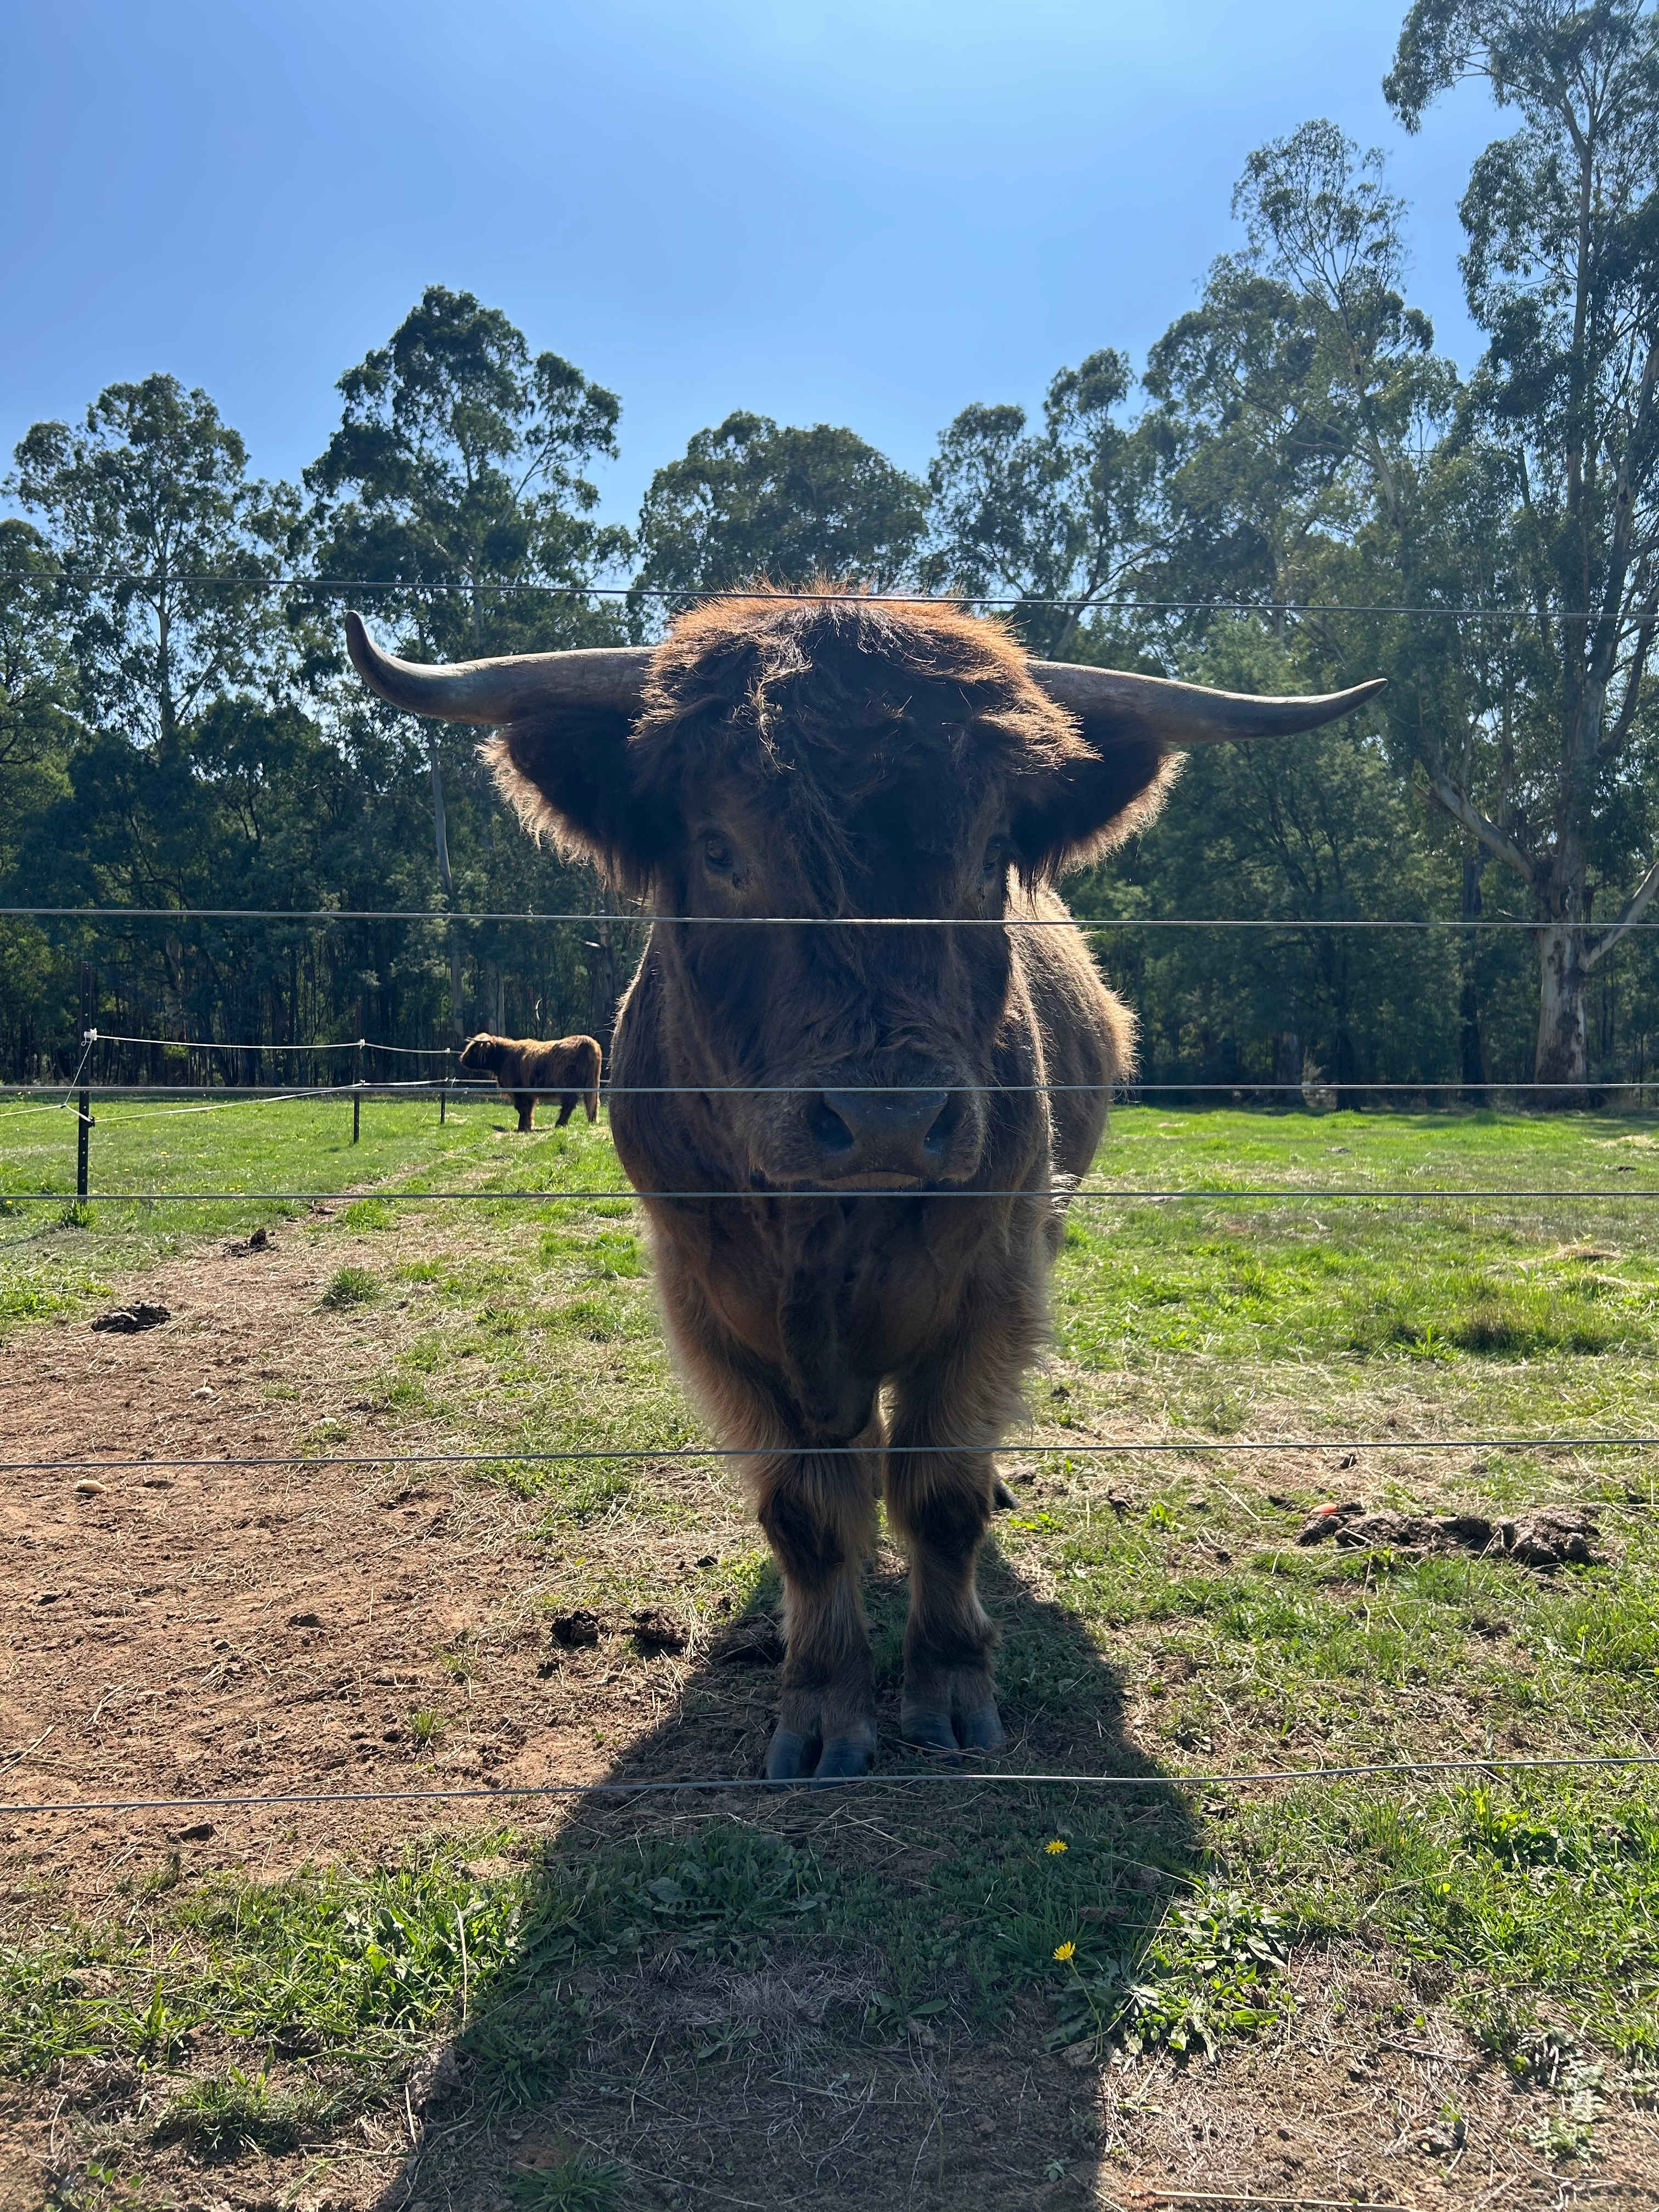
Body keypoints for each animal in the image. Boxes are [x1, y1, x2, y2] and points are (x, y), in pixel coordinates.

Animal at [457, 1030, 602, 1132]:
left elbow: (522, 1108)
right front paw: (528, 1125)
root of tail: (588, 1042)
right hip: (593, 1083)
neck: (505, 1057)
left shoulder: (519, 1091)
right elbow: (529, 1109)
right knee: (593, 1102)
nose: (462, 1059)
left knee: (570, 1103)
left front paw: (522, 1127)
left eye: (474, 1049)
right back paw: (592, 1121)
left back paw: (560, 1124)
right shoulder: (529, 1093)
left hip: (568, 1085)